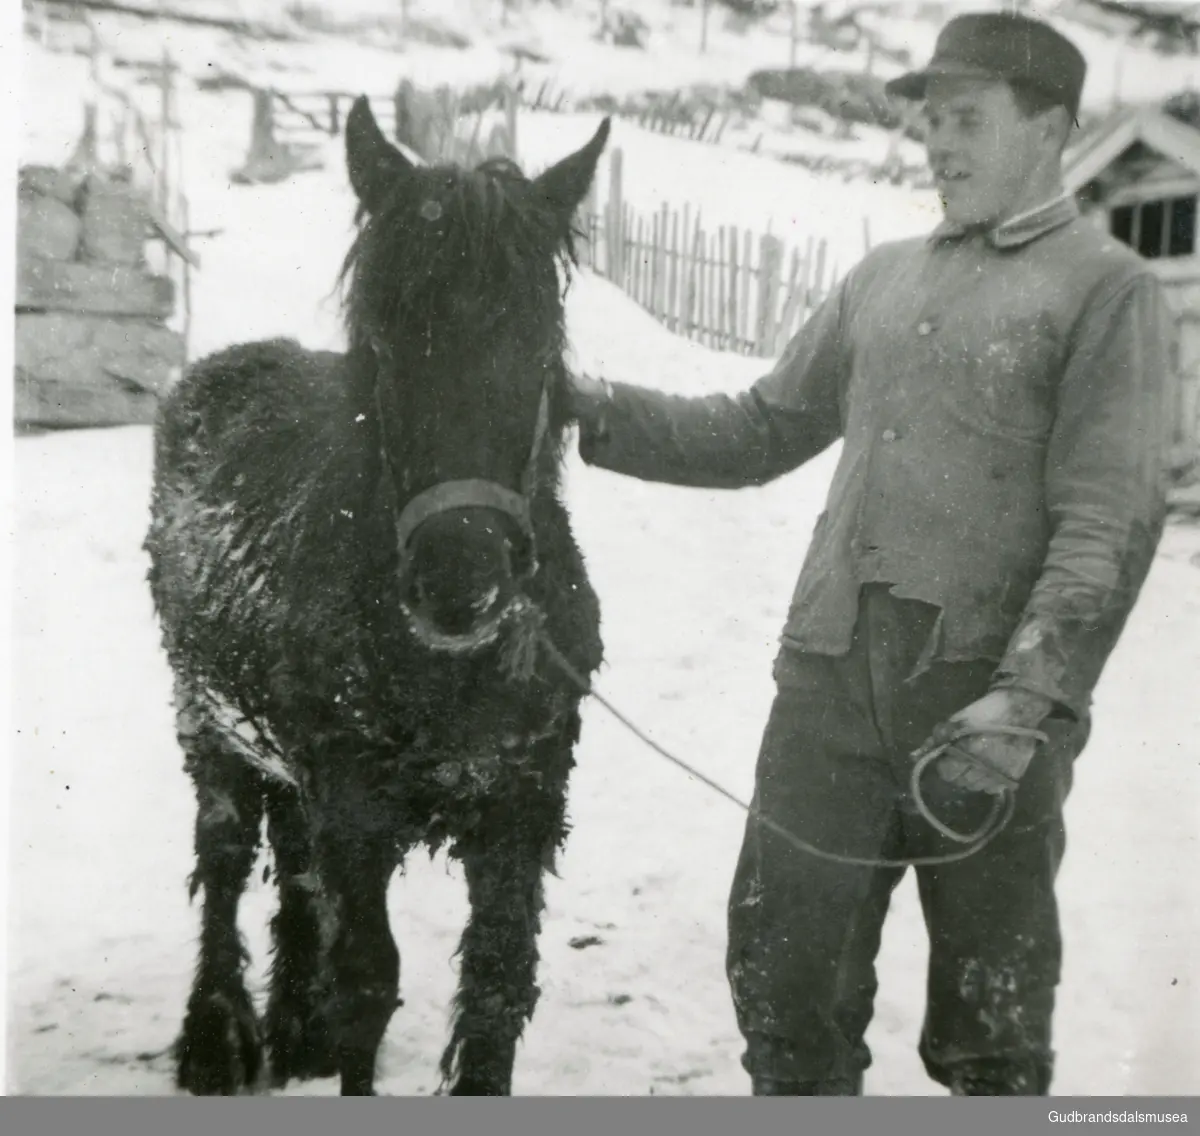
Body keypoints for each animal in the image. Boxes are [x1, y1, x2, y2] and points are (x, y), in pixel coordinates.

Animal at [142, 100, 609, 1103]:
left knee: (293, 865)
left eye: (538, 347)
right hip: (209, 720)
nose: (460, 580)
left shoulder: (522, 807)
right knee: (226, 858)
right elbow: (367, 982)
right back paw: (217, 1035)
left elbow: (498, 987)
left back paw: (292, 1025)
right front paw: (324, 1033)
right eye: (386, 344)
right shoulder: (354, 807)